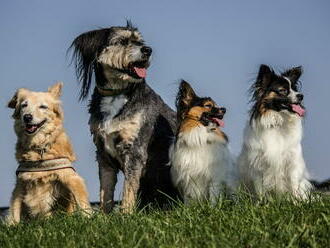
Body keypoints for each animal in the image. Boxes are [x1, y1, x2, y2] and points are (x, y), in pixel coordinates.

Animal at [6, 82, 91, 224]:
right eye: (24, 105)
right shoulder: (20, 184)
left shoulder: (71, 177)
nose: (27, 117)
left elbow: (82, 202)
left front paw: (89, 218)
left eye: (43, 106)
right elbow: (14, 210)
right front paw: (12, 225)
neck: (39, 147)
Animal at [69, 22, 178, 213]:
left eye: (140, 41)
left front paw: (126, 214)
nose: (148, 50)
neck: (116, 94)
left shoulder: (135, 149)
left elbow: (129, 188)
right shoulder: (102, 153)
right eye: (121, 41)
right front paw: (105, 215)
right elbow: (105, 190)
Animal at [237, 65, 312, 199]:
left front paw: (295, 202)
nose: (301, 96)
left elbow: (294, 186)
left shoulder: (292, 163)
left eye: (294, 89)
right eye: (283, 90)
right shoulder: (257, 164)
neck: (278, 121)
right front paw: (262, 203)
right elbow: (260, 190)